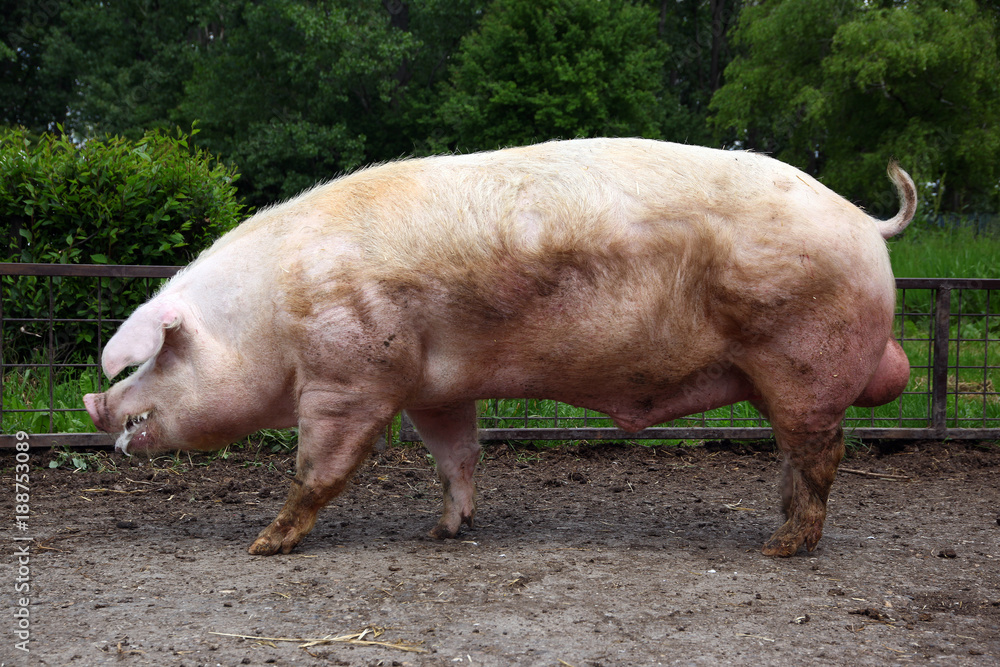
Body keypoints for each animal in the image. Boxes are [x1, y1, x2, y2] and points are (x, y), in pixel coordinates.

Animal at [83, 138, 914, 557]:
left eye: (156, 354)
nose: (94, 401)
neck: (268, 317)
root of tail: (865, 220)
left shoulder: (352, 376)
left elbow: (320, 466)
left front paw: (262, 544)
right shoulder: (435, 387)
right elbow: (457, 457)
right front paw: (441, 532)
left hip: (801, 359)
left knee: (821, 454)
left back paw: (779, 547)